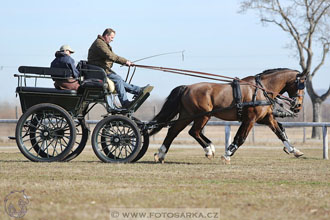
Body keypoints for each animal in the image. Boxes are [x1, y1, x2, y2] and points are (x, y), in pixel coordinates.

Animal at [150, 68, 306, 163]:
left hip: (188, 115)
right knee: (193, 131)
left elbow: (280, 133)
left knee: (174, 131)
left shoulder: (266, 118)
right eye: (301, 85)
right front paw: (226, 155)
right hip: (201, 115)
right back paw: (208, 150)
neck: (261, 90)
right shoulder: (250, 119)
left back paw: (161, 154)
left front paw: (294, 150)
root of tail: (186, 87)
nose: (298, 106)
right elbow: (240, 138)